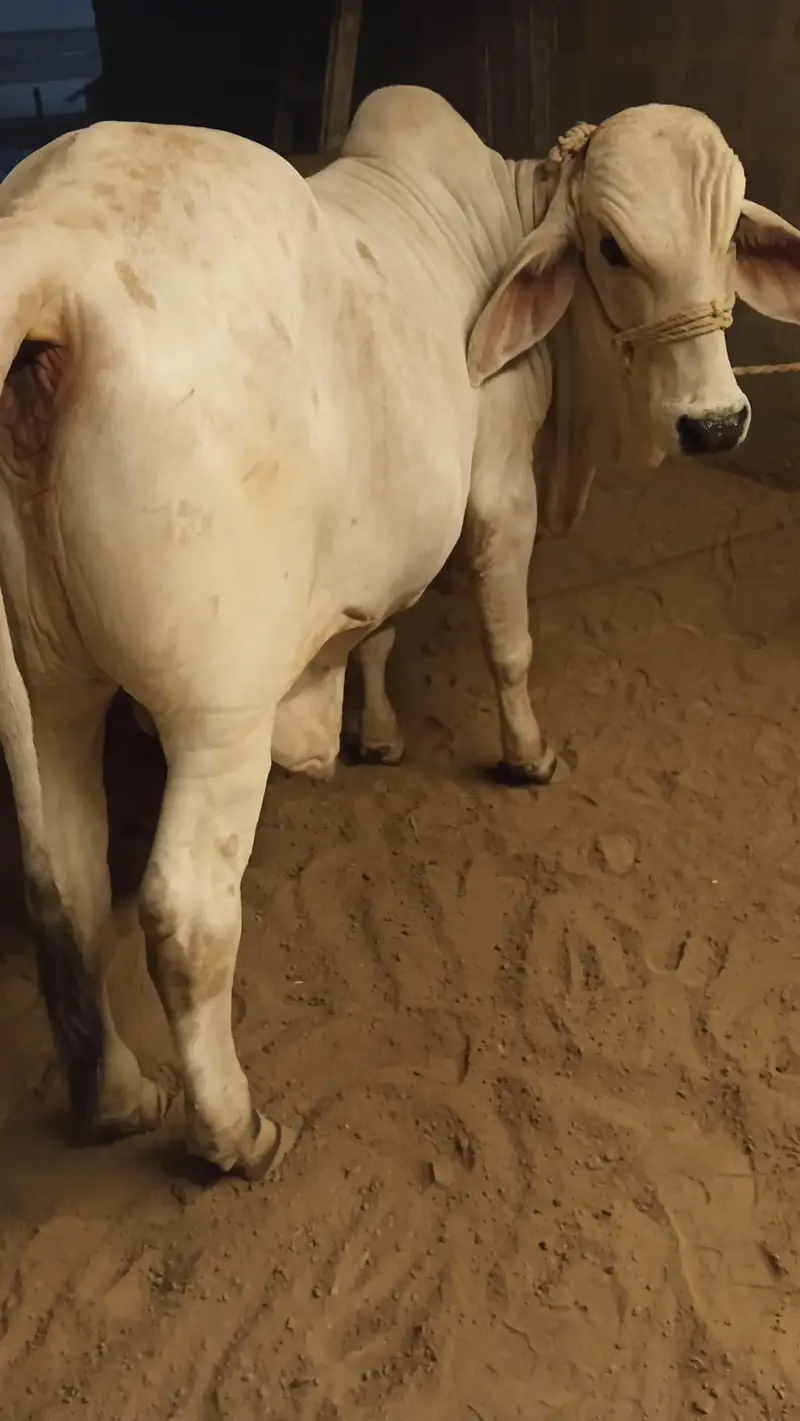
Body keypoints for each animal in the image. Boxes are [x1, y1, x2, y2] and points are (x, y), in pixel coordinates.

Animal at [0, 86, 799, 1178]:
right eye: (611, 247)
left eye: (724, 237)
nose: (714, 422)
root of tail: (52, 261)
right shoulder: (499, 489)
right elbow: (509, 645)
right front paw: (526, 754)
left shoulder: (391, 540)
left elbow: (380, 631)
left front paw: (375, 734)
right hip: (218, 710)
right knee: (183, 916)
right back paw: (233, 1130)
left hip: (47, 689)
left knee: (67, 888)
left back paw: (117, 1093)